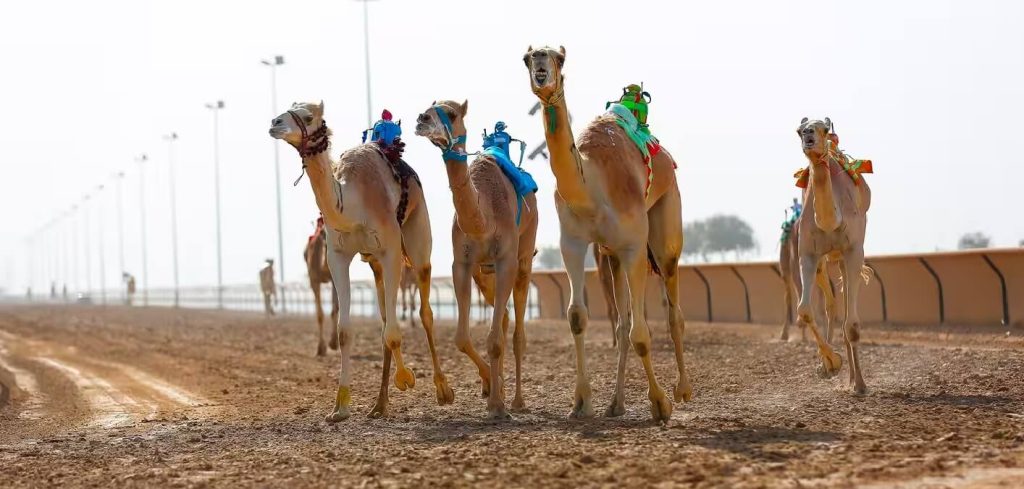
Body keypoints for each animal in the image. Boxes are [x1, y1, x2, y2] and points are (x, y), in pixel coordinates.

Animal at [270, 102, 453, 420]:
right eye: (289, 109)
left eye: (308, 116)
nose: (275, 123)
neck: (352, 202)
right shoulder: (337, 256)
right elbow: (347, 331)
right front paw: (340, 407)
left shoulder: (391, 250)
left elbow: (394, 331)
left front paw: (406, 379)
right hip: (374, 263)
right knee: (384, 317)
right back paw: (379, 404)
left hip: (418, 240)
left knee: (425, 311)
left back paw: (443, 390)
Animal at [415, 100, 539, 419]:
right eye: (428, 107)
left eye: (451, 112)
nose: (422, 119)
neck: (483, 219)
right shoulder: (462, 263)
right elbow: (462, 338)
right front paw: (491, 388)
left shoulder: (507, 260)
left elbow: (495, 340)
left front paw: (497, 405)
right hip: (484, 273)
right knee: (504, 319)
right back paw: (502, 387)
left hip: (524, 258)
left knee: (518, 332)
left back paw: (518, 401)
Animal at [523, 46, 690, 423]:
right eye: (526, 59)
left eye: (558, 58)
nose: (541, 67)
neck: (592, 185)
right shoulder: (572, 243)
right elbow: (577, 317)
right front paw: (582, 403)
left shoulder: (633, 247)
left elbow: (642, 332)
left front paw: (661, 404)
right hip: (612, 255)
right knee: (622, 323)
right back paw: (616, 404)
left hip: (665, 228)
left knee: (673, 311)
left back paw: (684, 390)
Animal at [794, 117, 872, 394]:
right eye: (799, 130)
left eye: (824, 128)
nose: (808, 135)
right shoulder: (807, 253)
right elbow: (805, 311)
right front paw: (831, 363)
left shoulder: (854, 250)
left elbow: (852, 325)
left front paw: (860, 385)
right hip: (827, 260)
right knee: (831, 306)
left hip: (846, 257)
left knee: (847, 304)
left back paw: (853, 380)